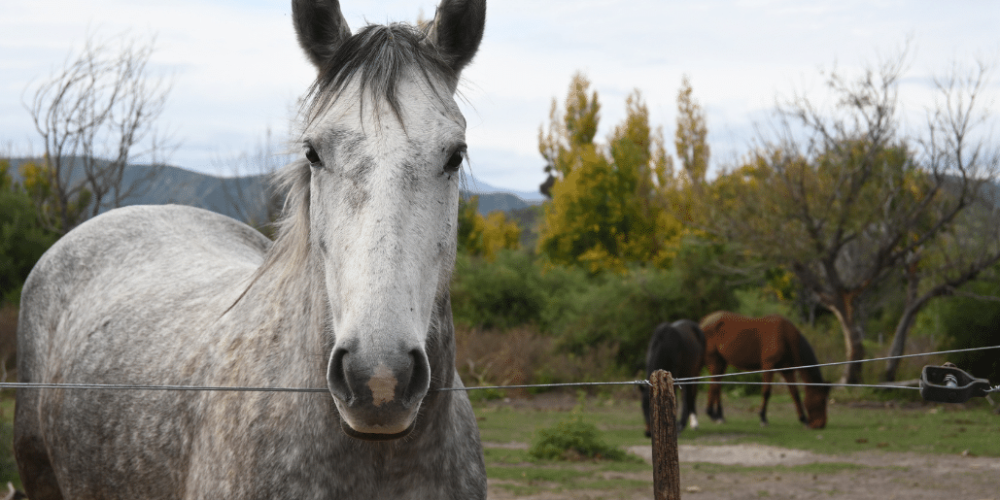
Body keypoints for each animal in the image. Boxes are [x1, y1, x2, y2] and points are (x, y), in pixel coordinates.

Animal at [696, 310, 828, 428]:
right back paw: (712, 414)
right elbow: (766, 392)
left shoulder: (787, 370)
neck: (784, 335)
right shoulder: (768, 366)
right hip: (715, 361)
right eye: (821, 400)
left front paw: (803, 419)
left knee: (716, 386)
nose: (821, 425)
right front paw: (763, 418)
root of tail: (704, 320)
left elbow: (795, 393)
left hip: (721, 362)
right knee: (714, 385)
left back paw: (719, 415)